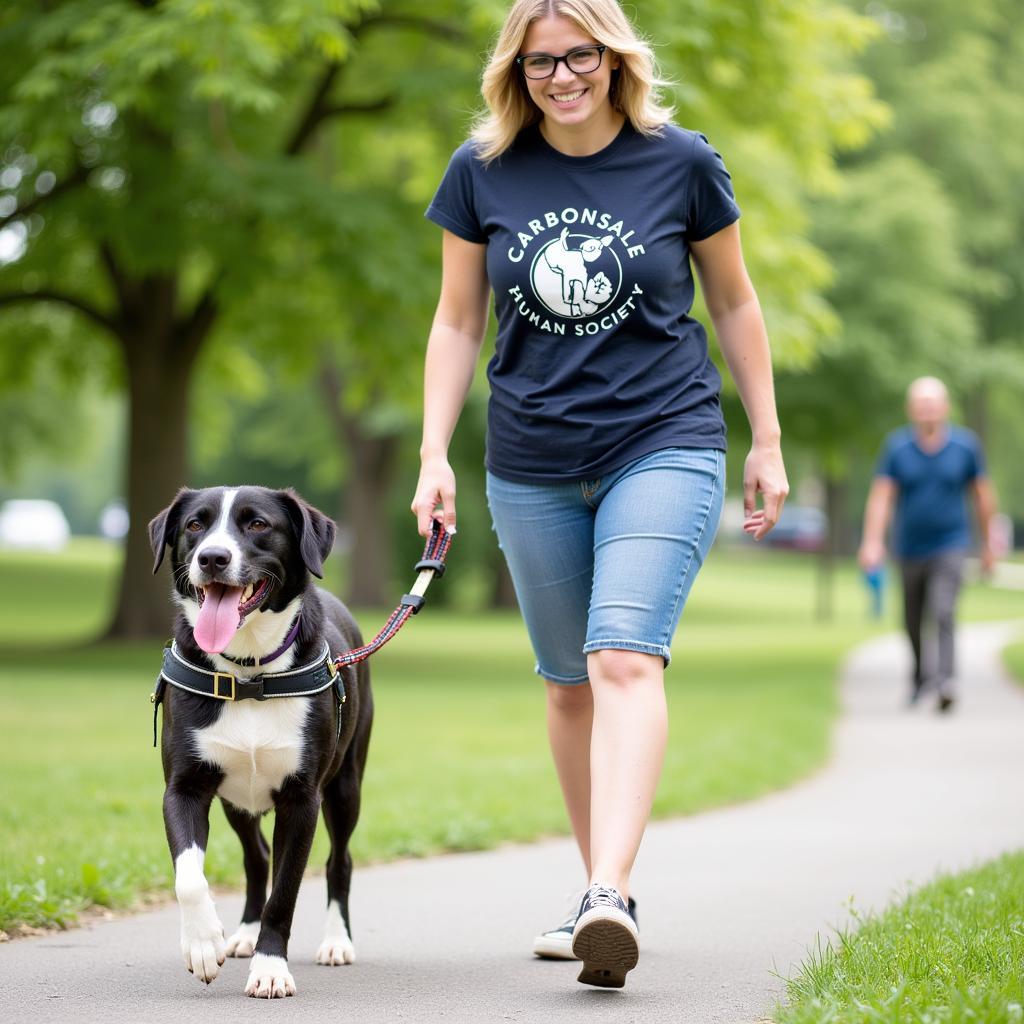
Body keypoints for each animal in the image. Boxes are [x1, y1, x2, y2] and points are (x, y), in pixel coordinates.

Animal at [149, 487, 374, 999]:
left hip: (346, 785)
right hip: (238, 800)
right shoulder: (185, 787)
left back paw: (336, 941)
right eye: (195, 525)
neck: (248, 675)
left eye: (257, 525)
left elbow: (286, 890)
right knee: (257, 858)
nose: (213, 557)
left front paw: (271, 968)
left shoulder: (302, 798)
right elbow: (189, 876)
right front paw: (203, 942)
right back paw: (243, 934)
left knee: (340, 861)